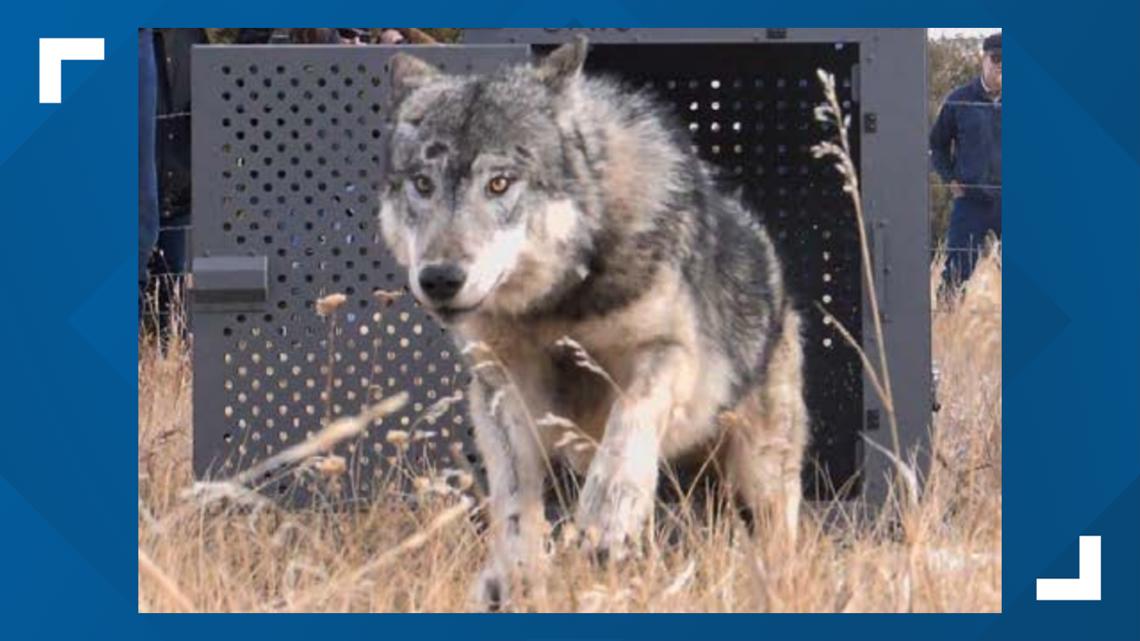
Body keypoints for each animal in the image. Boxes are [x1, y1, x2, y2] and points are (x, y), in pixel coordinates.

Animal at [379, 36, 808, 610]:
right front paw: (516, 578)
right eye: (423, 185)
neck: (559, 306)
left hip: (759, 472)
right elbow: (513, 501)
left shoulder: (669, 353)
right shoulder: (499, 391)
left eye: (499, 183)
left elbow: (629, 417)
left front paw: (608, 519)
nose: (440, 278)